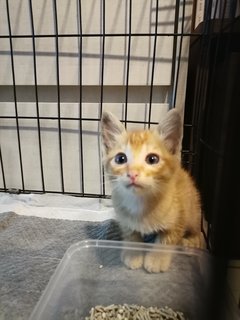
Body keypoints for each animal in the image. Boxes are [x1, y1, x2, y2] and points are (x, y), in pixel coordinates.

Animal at [101, 109, 204, 272]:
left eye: (152, 159)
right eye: (120, 158)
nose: (133, 174)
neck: (140, 201)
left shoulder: (179, 215)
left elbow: (168, 238)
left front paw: (157, 258)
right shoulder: (123, 218)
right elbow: (131, 233)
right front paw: (133, 253)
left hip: (193, 208)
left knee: (197, 230)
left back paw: (191, 242)